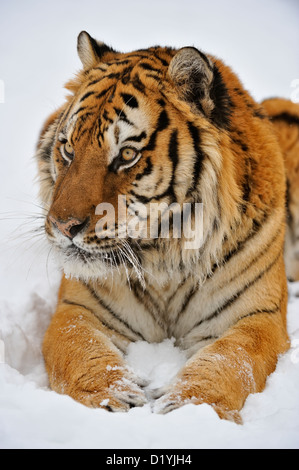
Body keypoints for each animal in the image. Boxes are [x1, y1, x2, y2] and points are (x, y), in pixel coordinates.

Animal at [35, 31, 296, 424]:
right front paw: (113, 396)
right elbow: (78, 349)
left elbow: (230, 360)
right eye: (68, 148)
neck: (163, 260)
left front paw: (190, 406)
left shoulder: (256, 317)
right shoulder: (77, 308)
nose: (63, 225)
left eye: (127, 155)